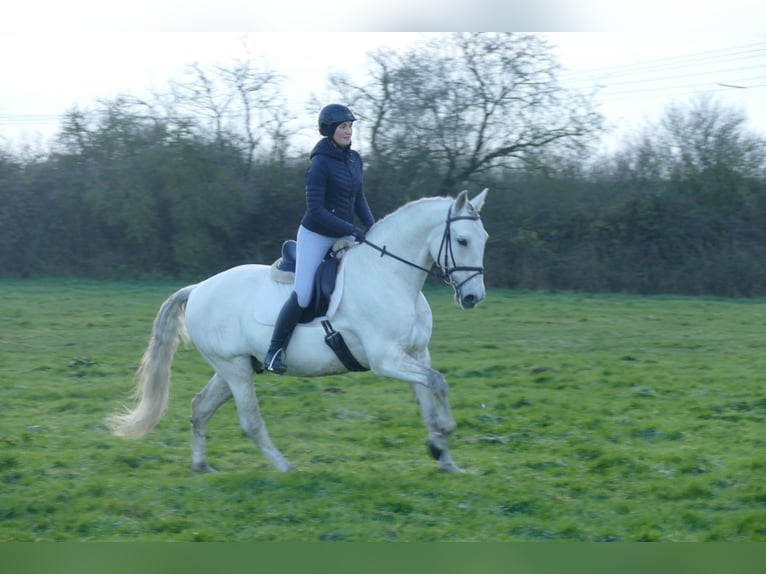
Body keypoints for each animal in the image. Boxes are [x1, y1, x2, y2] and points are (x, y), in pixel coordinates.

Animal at [106, 191, 492, 474]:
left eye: (484, 238)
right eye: (461, 240)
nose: (473, 297)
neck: (390, 276)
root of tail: (199, 287)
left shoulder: (415, 354)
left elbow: (430, 397)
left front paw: (444, 456)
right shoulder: (386, 360)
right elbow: (439, 382)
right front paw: (443, 438)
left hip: (236, 367)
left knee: (200, 407)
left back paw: (202, 467)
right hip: (234, 368)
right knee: (250, 422)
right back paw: (286, 468)